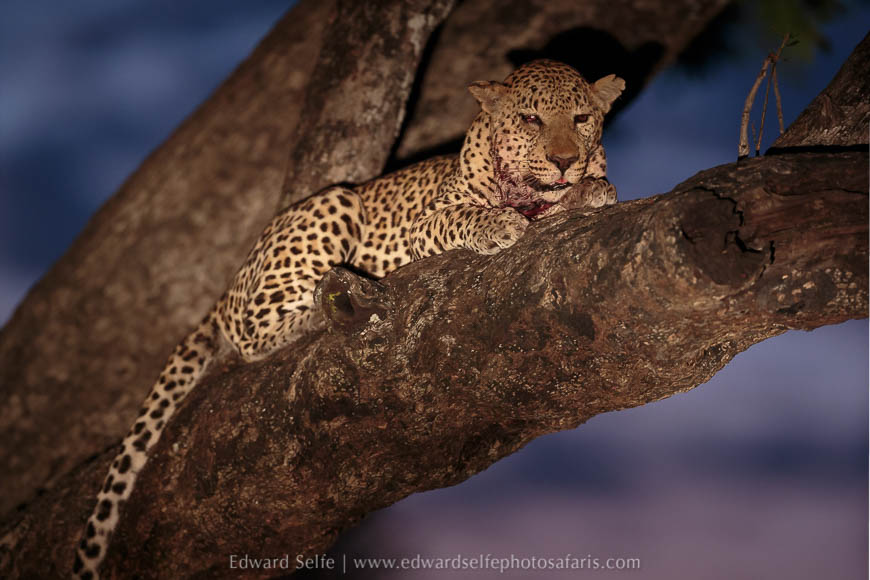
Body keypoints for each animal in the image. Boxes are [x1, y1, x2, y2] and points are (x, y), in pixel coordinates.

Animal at [73, 59, 624, 579]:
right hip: (331, 206)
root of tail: (228, 285)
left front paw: (587, 190)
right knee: (250, 331)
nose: (563, 161)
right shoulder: (422, 226)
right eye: (531, 119)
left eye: (581, 119)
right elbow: (463, 216)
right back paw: (314, 317)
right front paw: (500, 223)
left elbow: (586, 196)